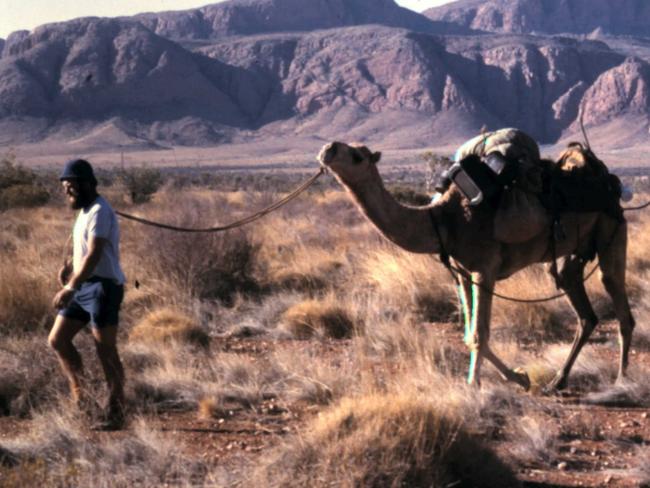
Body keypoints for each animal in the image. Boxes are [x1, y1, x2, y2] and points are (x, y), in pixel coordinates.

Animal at [318, 140, 632, 388]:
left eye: (357, 156)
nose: (328, 149)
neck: (444, 220)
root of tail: (608, 181)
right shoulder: (462, 273)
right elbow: (470, 334)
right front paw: (519, 377)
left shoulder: (485, 268)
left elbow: (480, 334)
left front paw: (475, 384)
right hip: (571, 254)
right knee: (581, 307)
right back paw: (558, 380)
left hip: (612, 228)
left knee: (617, 297)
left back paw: (621, 380)